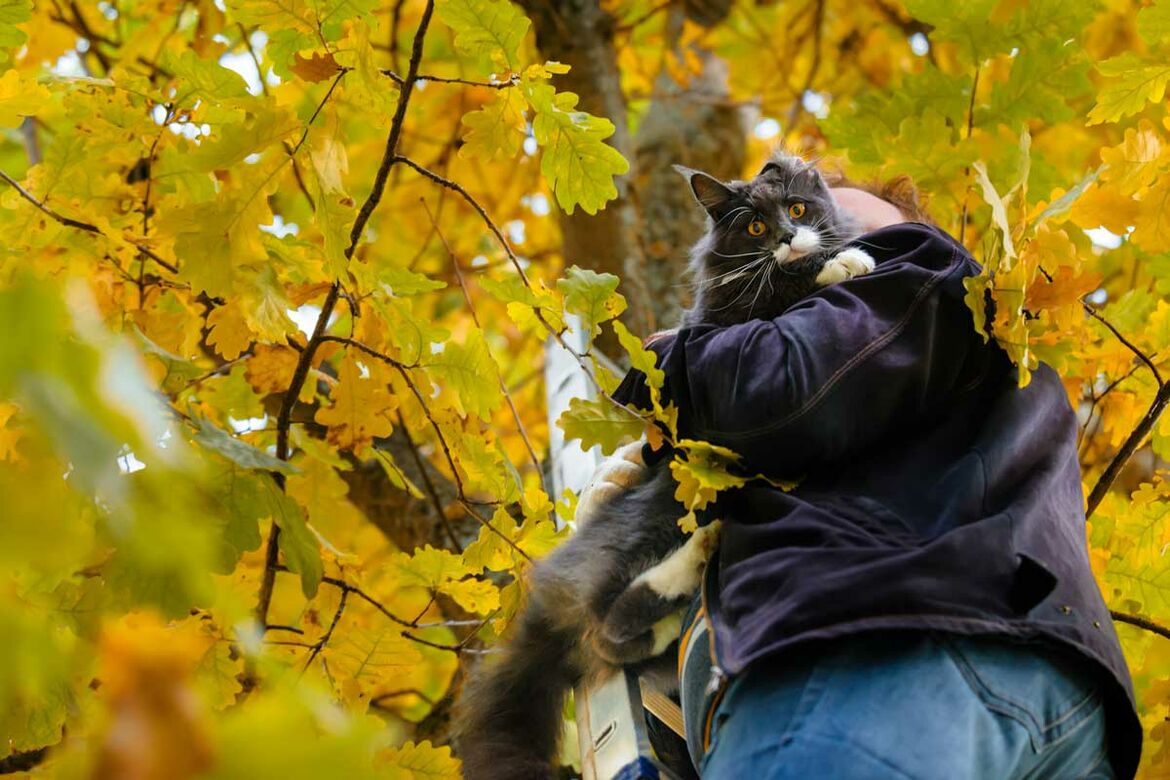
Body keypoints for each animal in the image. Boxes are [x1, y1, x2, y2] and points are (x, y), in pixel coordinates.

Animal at [451, 154, 875, 780]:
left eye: (797, 208)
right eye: (755, 227)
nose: (787, 237)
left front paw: (836, 255)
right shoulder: (723, 322)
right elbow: (777, 291)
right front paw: (840, 263)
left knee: (618, 640)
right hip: (662, 508)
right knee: (607, 626)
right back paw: (693, 558)